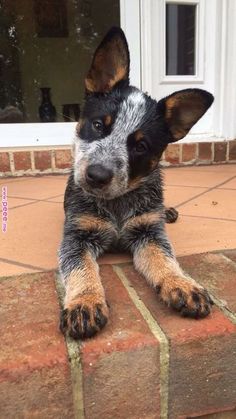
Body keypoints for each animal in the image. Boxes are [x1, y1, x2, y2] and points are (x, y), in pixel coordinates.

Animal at [58, 27, 214, 342]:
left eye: (140, 146)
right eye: (98, 125)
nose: (97, 175)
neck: (118, 204)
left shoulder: (148, 233)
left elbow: (165, 259)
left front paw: (182, 283)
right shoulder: (77, 235)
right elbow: (80, 267)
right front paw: (84, 303)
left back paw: (169, 211)